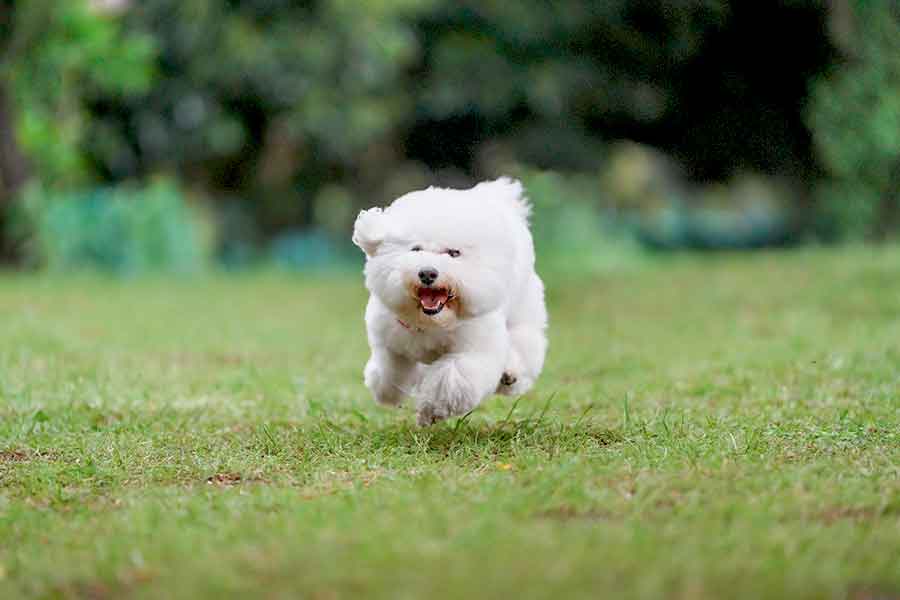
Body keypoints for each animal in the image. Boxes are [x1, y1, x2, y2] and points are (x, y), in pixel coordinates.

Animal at [354, 176, 548, 424]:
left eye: (454, 253)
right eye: (415, 249)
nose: (427, 273)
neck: (430, 323)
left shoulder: (475, 349)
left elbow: (451, 380)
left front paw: (430, 410)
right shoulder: (389, 340)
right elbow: (390, 370)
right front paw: (386, 391)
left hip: (522, 306)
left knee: (524, 340)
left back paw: (510, 373)